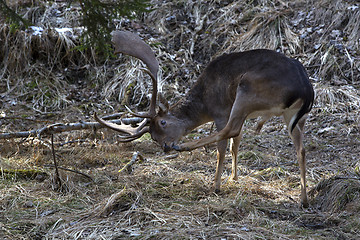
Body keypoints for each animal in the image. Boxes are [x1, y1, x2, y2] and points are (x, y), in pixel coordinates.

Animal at [96, 29, 316, 206]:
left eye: (163, 122)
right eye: (153, 137)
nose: (166, 146)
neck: (204, 104)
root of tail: (305, 89)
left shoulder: (221, 110)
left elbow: (225, 144)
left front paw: (218, 185)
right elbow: (236, 143)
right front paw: (234, 178)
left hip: (246, 90)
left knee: (229, 131)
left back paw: (188, 150)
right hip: (295, 116)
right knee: (301, 148)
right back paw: (303, 198)